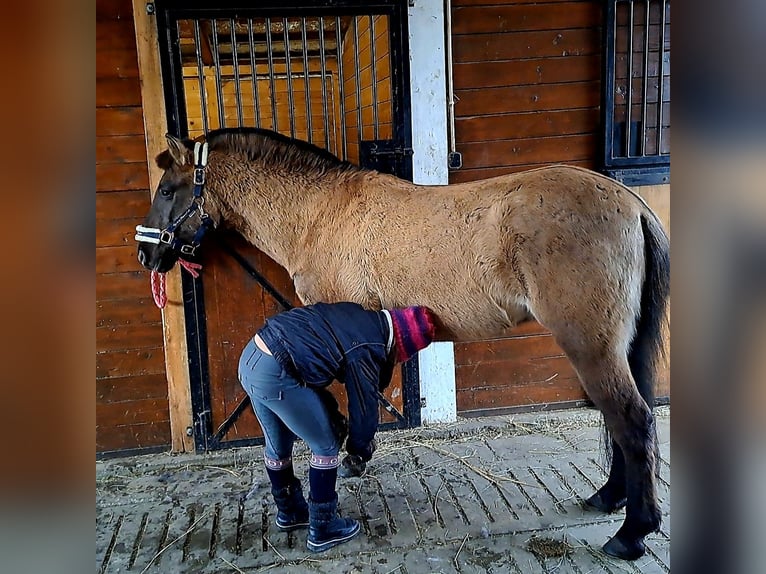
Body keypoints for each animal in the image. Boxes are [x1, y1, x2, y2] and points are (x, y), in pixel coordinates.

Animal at [136, 127, 669, 560]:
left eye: (166, 189)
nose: (146, 253)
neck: (318, 214)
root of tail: (634, 205)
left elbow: (344, 394)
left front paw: (350, 450)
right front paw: (355, 450)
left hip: (591, 348)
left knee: (632, 421)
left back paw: (630, 534)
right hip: (619, 349)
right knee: (626, 421)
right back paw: (608, 498)